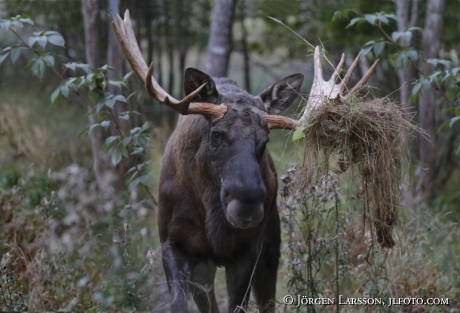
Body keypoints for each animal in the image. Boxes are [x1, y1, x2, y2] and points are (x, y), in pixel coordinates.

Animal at [112, 9, 378, 312]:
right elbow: (180, 304)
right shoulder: (173, 242)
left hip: (270, 247)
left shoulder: (248, 249)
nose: (247, 204)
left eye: (265, 140)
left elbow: (238, 305)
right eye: (216, 133)